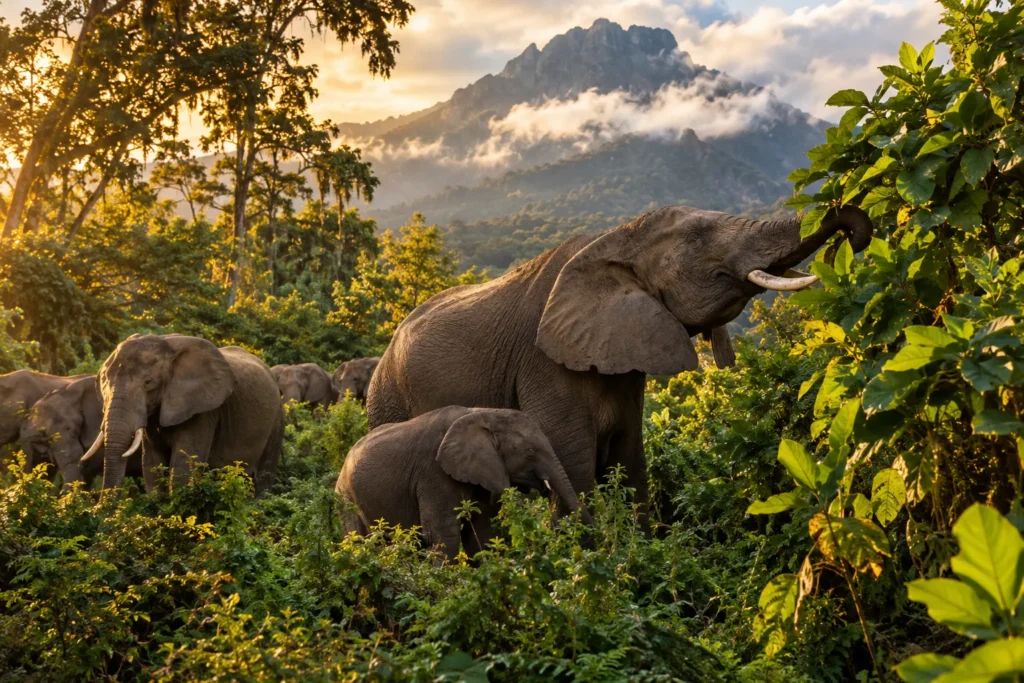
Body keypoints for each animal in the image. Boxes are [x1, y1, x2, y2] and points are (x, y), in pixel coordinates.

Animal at [84, 334, 284, 494]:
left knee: (264, 476)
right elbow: (152, 464)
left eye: (148, 383)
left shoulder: (204, 409)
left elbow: (183, 463)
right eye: (105, 381)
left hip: (277, 419)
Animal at [336, 405, 592, 558]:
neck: (484, 413)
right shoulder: (433, 472)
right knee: (358, 541)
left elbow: (479, 533)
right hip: (346, 499)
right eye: (529, 452)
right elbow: (444, 534)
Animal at [368, 205, 873, 522]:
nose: (851, 231)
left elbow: (631, 460)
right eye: (697, 238)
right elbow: (573, 466)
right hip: (386, 398)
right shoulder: (545, 364)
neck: (614, 239)